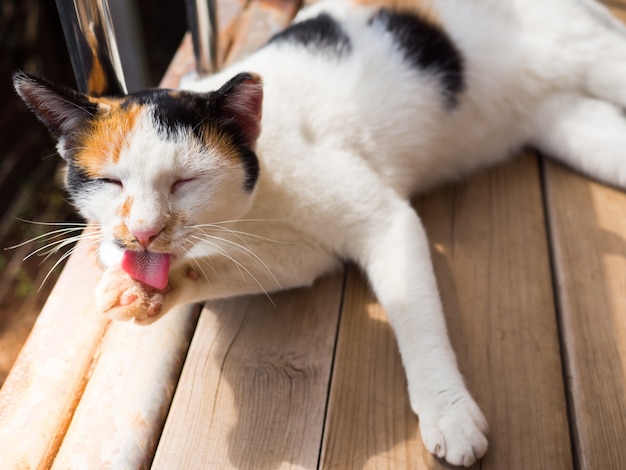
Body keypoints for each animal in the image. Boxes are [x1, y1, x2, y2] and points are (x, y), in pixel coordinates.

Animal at [12, 0, 624, 464]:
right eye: (111, 182)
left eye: (185, 181)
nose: (142, 232)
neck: (255, 203)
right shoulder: (298, 255)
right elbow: (235, 269)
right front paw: (140, 291)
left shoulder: (385, 220)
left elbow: (417, 318)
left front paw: (448, 411)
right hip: (570, 127)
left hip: (593, 56)